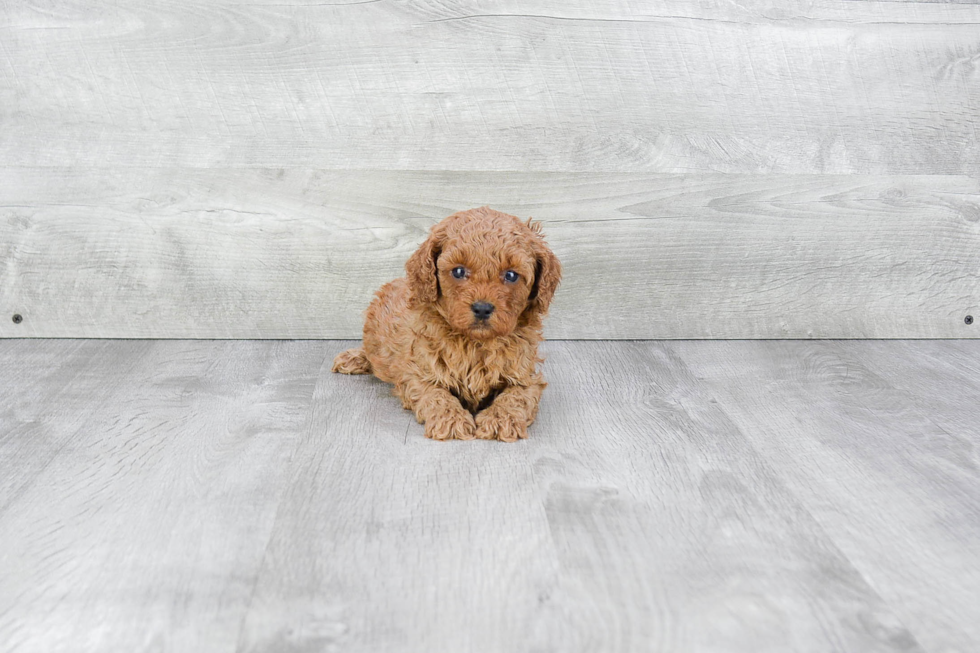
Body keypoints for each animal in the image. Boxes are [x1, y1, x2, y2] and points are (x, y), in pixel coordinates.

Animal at [334, 209, 560, 444]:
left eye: (511, 275)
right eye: (458, 271)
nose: (482, 308)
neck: (475, 342)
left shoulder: (526, 378)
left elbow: (516, 396)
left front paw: (500, 419)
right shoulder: (417, 373)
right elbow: (436, 395)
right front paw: (451, 420)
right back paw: (354, 358)